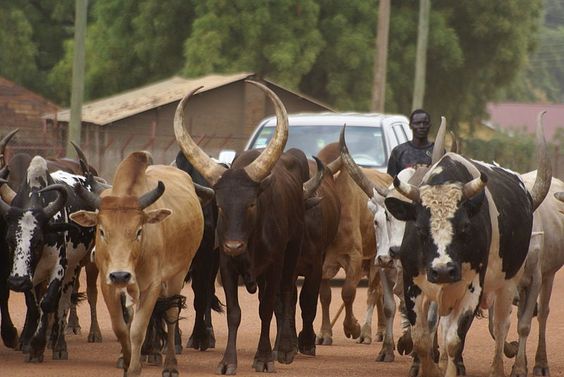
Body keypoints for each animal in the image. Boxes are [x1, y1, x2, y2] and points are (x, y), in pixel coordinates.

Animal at [0, 156, 95, 362]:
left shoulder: (59, 267)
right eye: (10, 240)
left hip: (73, 269)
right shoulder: (27, 275)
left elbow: (48, 302)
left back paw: (58, 345)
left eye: (38, 241)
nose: (17, 282)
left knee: (63, 304)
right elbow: (33, 305)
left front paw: (38, 346)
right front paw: (29, 343)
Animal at [69, 151, 204, 374]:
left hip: (178, 274)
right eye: (101, 231)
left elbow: (137, 330)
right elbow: (121, 328)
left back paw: (170, 364)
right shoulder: (108, 284)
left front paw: (133, 368)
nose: (120, 275)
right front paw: (127, 359)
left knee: (171, 313)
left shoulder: (152, 286)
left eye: (139, 231)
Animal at [175, 80, 310, 374]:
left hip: (293, 252)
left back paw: (284, 348)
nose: (234, 245)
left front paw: (264, 358)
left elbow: (268, 308)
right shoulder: (226, 265)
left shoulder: (274, 266)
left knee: (287, 294)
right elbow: (234, 313)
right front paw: (228, 362)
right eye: (221, 205)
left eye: (251, 204)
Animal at [386, 117, 548, 376]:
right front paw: (431, 368)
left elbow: (454, 340)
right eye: (419, 228)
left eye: (464, 226)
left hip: (508, 283)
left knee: (501, 327)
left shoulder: (472, 289)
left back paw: (497, 369)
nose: (443, 270)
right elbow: (422, 338)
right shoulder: (412, 284)